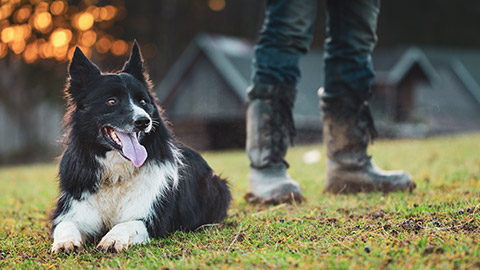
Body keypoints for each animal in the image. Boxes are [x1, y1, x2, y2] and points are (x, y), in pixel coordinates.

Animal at [51, 41, 232, 253]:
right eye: (111, 101)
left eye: (143, 101)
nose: (143, 121)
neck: (116, 176)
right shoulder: (71, 210)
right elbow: (66, 225)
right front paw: (65, 242)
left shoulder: (154, 219)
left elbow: (128, 224)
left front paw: (113, 238)